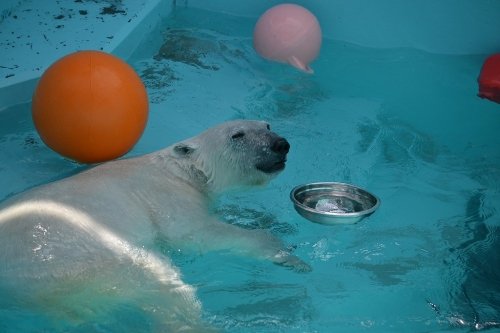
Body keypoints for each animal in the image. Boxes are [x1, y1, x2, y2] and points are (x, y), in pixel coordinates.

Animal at [0, 119, 308, 332]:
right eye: (237, 135)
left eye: (267, 125)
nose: (281, 143)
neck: (180, 171)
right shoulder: (166, 198)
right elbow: (197, 233)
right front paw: (287, 256)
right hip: (82, 259)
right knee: (158, 282)